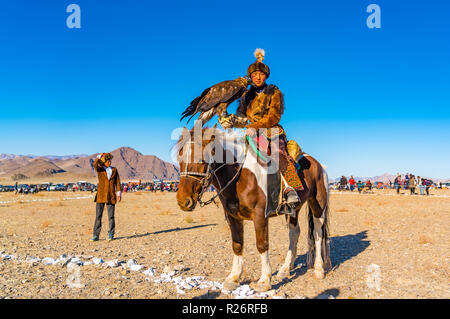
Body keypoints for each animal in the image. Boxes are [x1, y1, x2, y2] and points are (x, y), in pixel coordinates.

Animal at [176, 127, 330, 292]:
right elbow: (237, 244)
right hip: (294, 209)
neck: (240, 177)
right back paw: (285, 269)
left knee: (318, 233)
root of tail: (319, 165)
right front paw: (233, 278)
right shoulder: (232, 216)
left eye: (200, 159)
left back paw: (319, 269)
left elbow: (262, 245)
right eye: (179, 160)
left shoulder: (260, 216)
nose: (183, 201)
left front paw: (264, 281)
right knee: (294, 233)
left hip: (318, 205)